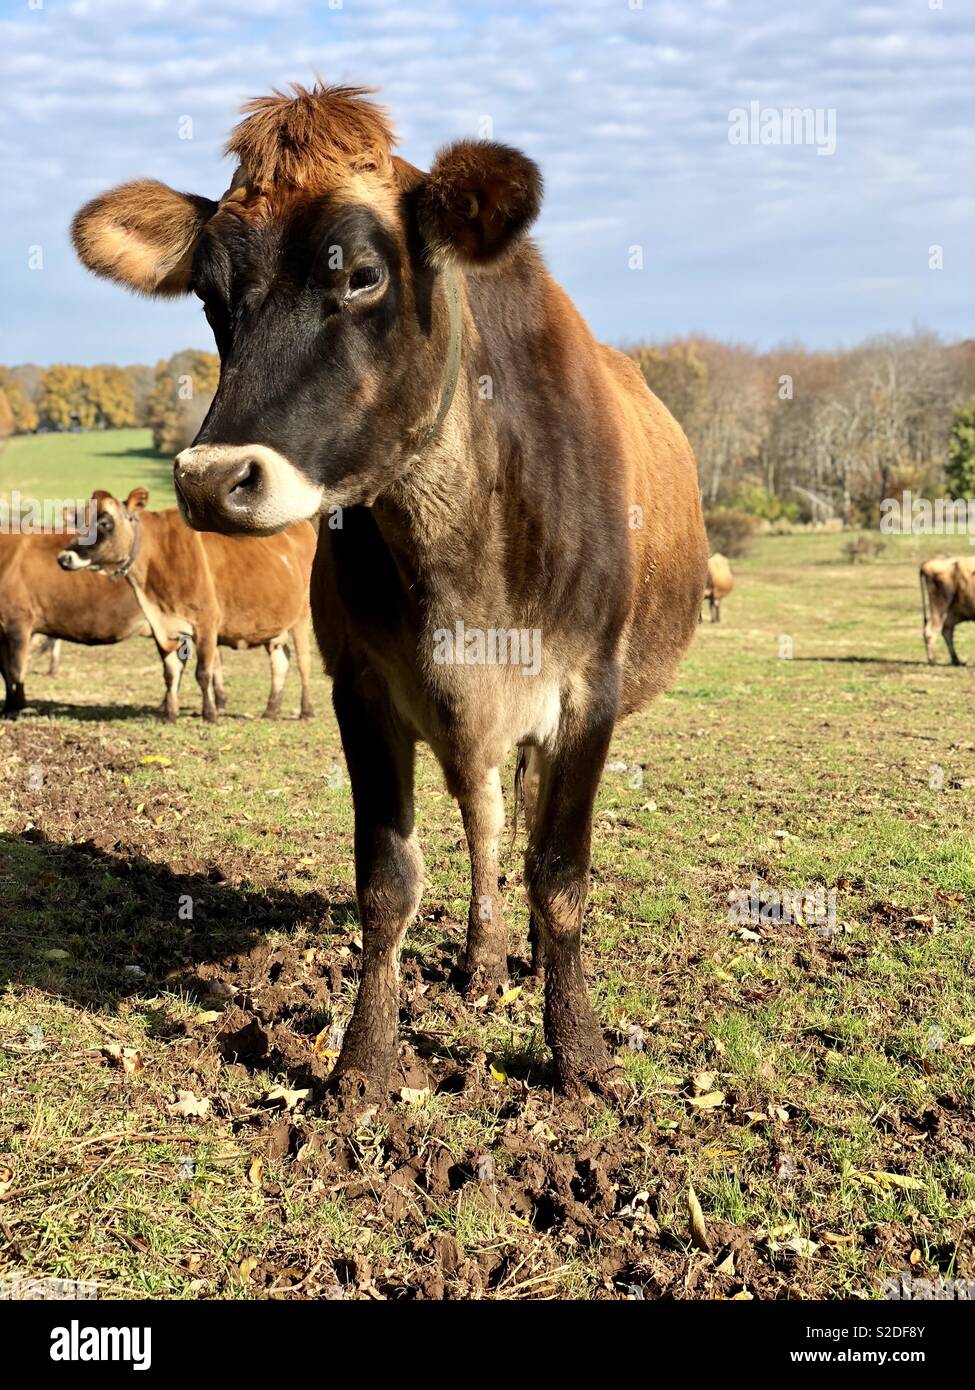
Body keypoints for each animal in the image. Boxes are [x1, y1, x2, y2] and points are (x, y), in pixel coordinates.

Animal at [57, 489, 317, 722]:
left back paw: (306, 711)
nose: (64, 557)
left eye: (104, 522)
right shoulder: (163, 626)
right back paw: (271, 711)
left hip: (302, 617)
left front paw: (210, 714)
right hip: (275, 624)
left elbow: (203, 672)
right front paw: (171, 714)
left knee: (304, 662)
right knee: (280, 660)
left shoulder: (206, 623)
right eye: (79, 520)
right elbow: (171, 672)